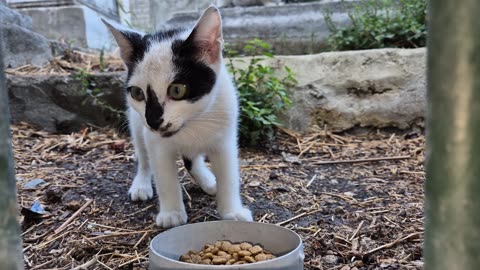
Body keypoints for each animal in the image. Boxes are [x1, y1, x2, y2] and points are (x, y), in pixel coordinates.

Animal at [102, 6, 253, 227]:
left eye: (177, 90)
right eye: (137, 93)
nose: (153, 120)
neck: (193, 123)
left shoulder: (225, 138)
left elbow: (229, 175)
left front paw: (232, 212)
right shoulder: (154, 140)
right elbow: (164, 176)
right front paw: (172, 214)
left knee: (192, 158)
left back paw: (208, 180)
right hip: (136, 123)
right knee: (144, 157)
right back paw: (142, 184)